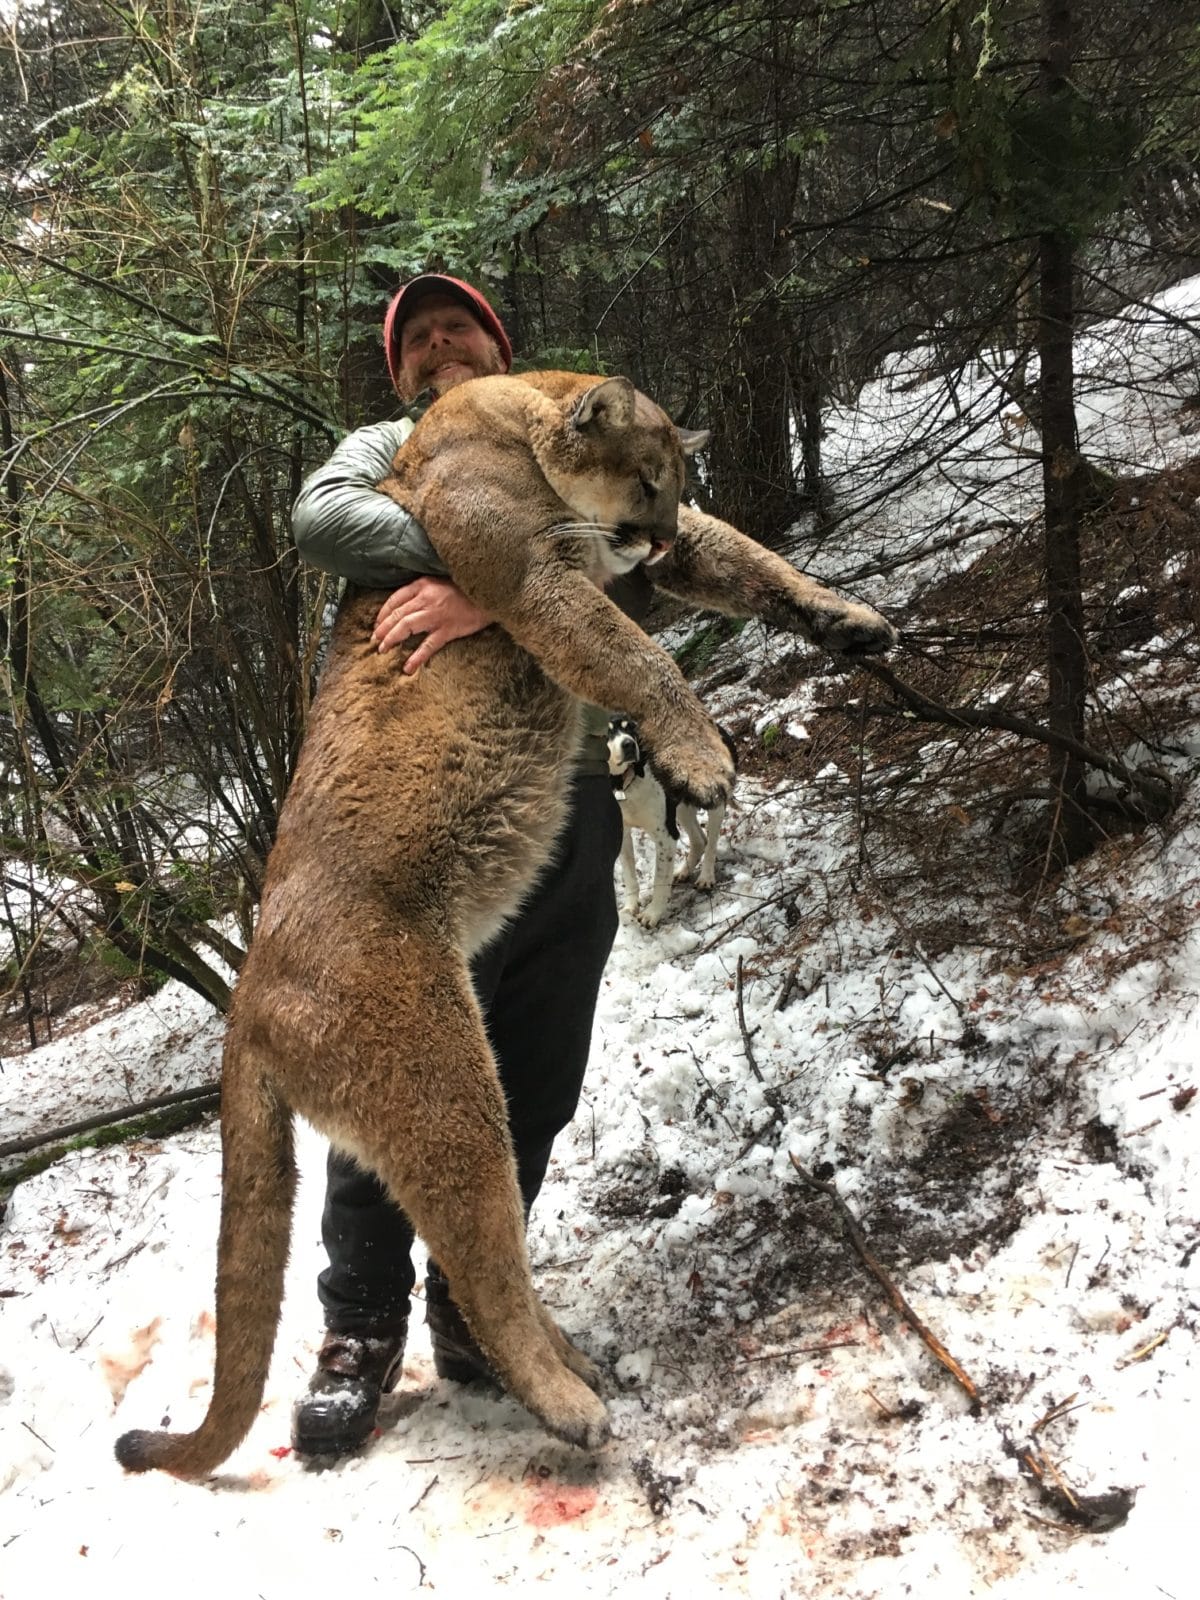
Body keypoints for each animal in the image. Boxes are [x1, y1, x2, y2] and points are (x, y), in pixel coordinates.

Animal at [604, 713, 739, 928]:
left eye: (631, 728)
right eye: (606, 732)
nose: (628, 744)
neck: (624, 784)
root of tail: (717, 727)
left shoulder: (665, 837)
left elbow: (659, 879)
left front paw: (652, 914)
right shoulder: (623, 833)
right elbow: (630, 876)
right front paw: (630, 908)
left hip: (713, 801)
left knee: (711, 844)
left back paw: (706, 877)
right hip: (682, 807)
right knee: (700, 840)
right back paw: (683, 871)